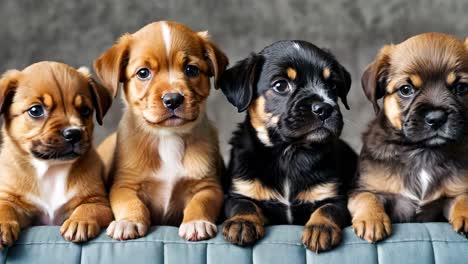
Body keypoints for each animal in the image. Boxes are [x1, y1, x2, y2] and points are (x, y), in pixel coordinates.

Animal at [0, 60, 114, 246]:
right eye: (35, 110)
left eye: (85, 110)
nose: (74, 133)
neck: (51, 169)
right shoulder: (15, 202)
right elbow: (4, 207)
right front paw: (2, 225)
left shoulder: (99, 202)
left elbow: (88, 208)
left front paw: (79, 222)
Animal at [93, 21, 229, 241]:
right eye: (143, 73)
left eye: (191, 70)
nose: (173, 99)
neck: (167, 137)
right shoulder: (124, 185)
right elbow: (131, 203)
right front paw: (128, 222)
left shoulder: (208, 186)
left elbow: (201, 203)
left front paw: (196, 222)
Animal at [218, 40, 356, 252]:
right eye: (281, 85)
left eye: (332, 85)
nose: (325, 108)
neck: (288, 153)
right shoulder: (238, 193)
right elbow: (244, 205)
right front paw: (242, 223)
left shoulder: (334, 197)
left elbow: (327, 209)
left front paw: (320, 228)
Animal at [350, 32, 468, 242]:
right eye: (406, 89)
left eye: (461, 88)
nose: (436, 118)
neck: (423, 151)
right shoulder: (363, 188)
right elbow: (367, 197)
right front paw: (372, 219)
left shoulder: (454, 192)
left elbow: (464, 199)